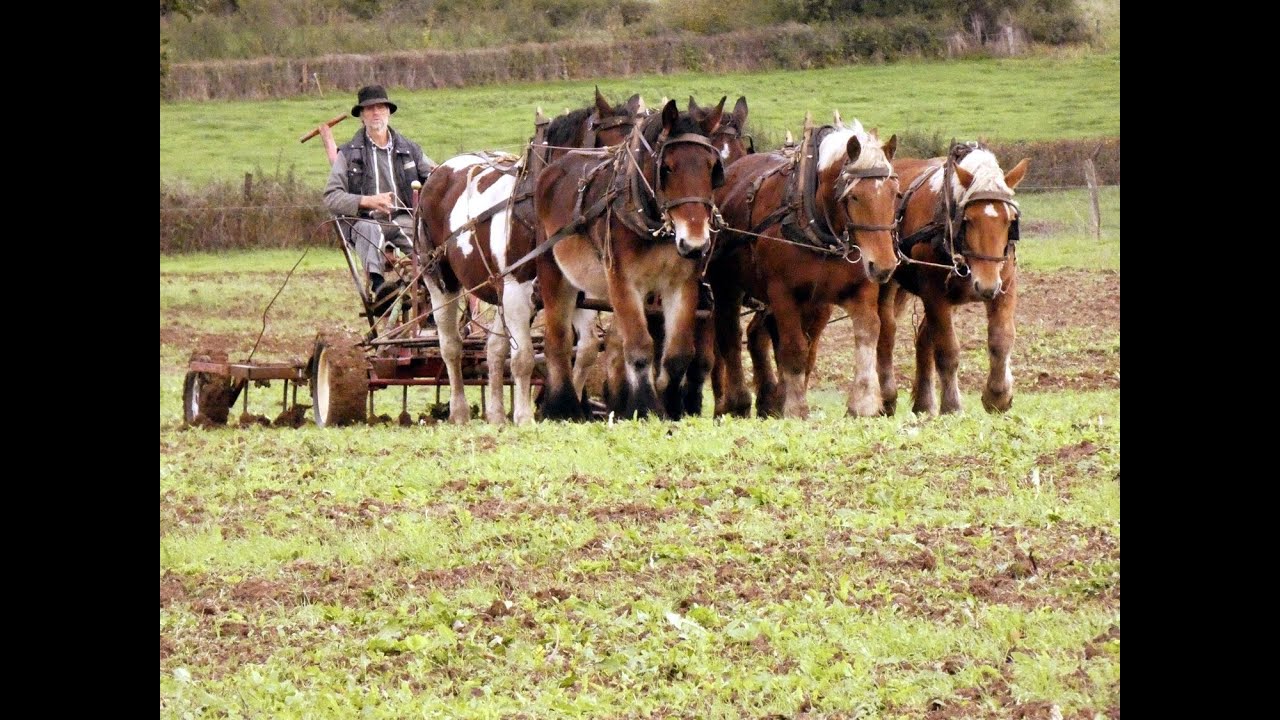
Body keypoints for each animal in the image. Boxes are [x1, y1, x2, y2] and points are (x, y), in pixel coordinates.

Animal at [413, 89, 642, 425]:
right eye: (612, 145)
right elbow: (522, 357)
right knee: (452, 346)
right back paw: (459, 411)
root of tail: (438, 172)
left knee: (494, 349)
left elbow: (584, 351)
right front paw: (524, 416)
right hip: (440, 280)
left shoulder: (575, 289)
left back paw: (496, 414)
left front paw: (566, 407)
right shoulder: (517, 289)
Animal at [535, 96, 727, 421]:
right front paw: (645, 408)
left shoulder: (682, 283)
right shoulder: (623, 281)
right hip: (554, 271)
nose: (695, 243)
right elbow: (639, 347)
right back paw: (562, 408)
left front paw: (671, 407)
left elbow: (678, 354)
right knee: (557, 342)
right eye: (667, 168)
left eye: (712, 167)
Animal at [706, 116, 900, 418]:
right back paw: (736, 402)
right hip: (726, 284)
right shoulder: (782, 293)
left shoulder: (857, 290)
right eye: (854, 196)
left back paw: (771, 399)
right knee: (730, 336)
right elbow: (794, 348)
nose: (884, 265)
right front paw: (796, 408)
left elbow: (867, 333)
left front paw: (864, 403)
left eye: (895, 193)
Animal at [877, 142, 1030, 415]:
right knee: (887, 331)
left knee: (923, 337)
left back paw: (924, 403)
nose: (986, 286)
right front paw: (952, 405)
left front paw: (998, 395)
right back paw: (887, 397)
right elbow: (947, 350)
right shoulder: (934, 293)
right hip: (889, 282)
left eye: (1011, 220)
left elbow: (1001, 338)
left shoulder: (1005, 286)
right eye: (968, 220)